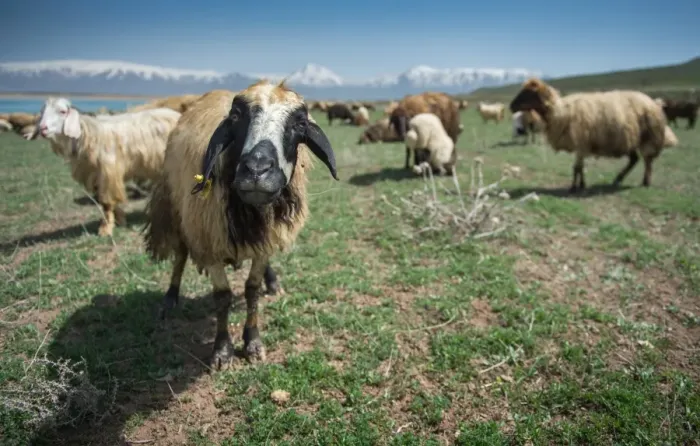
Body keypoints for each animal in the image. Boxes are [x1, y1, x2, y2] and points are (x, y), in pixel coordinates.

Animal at [36, 97, 181, 236]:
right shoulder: (96, 176)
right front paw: (120, 219)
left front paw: (105, 229)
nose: (43, 129)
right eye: (42, 112)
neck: (88, 133)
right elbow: (104, 200)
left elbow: (106, 202)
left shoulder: (108, 172)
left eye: (62, 111)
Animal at [143, 81, 338, 369]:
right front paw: (222, 350)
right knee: (180, 256)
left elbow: (252, 291)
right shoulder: (209, 240)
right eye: (235, 116)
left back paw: (272, 282)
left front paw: (252, 341)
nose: (256, 170)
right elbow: (223, 296)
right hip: (179, 213)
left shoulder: (264, 241)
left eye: (300, 123)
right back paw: (170, 298)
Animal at [509, 77, 679, 193]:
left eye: (528, 93)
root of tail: (655, 103)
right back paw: (617, 179)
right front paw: (581, 185)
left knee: (647, 161)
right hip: (630, 140)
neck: (561, 112)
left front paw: (574, 187)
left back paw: (645, 181)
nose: (511, 106)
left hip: (647, 137)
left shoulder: (581, 143)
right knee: (634, 159)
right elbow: (580, 167)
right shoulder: (582, 146)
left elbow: (576, 168)